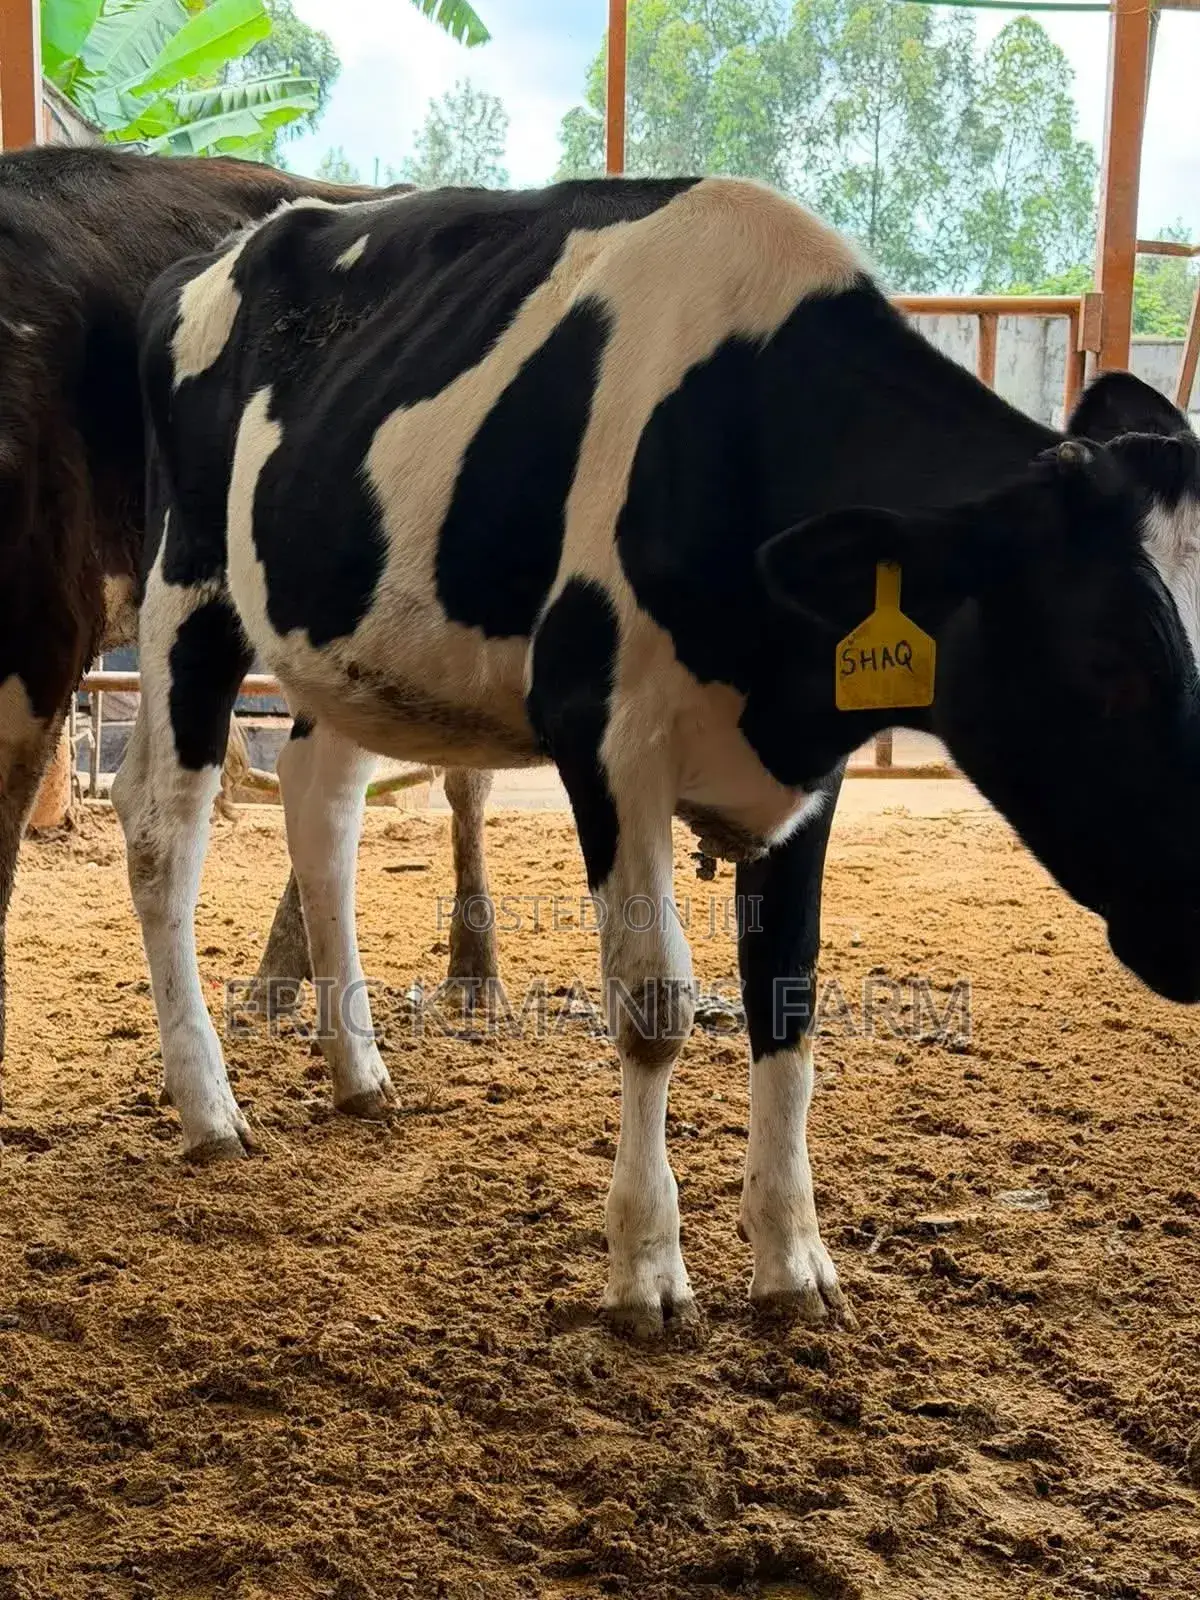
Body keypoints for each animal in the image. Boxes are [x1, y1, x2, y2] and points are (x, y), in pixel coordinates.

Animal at [119, 175, 1200, 1338]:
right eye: (1110, 660)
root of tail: (214, 256)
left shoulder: (810, 769)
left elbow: (788, 998)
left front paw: (793, 1265)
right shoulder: (603, 732)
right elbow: (653, 1008)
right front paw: (645, 1270)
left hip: (346, 650)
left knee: (320, 807)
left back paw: (357, 1070)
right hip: (188, 584)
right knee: (162, 833)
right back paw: (209, 1107)